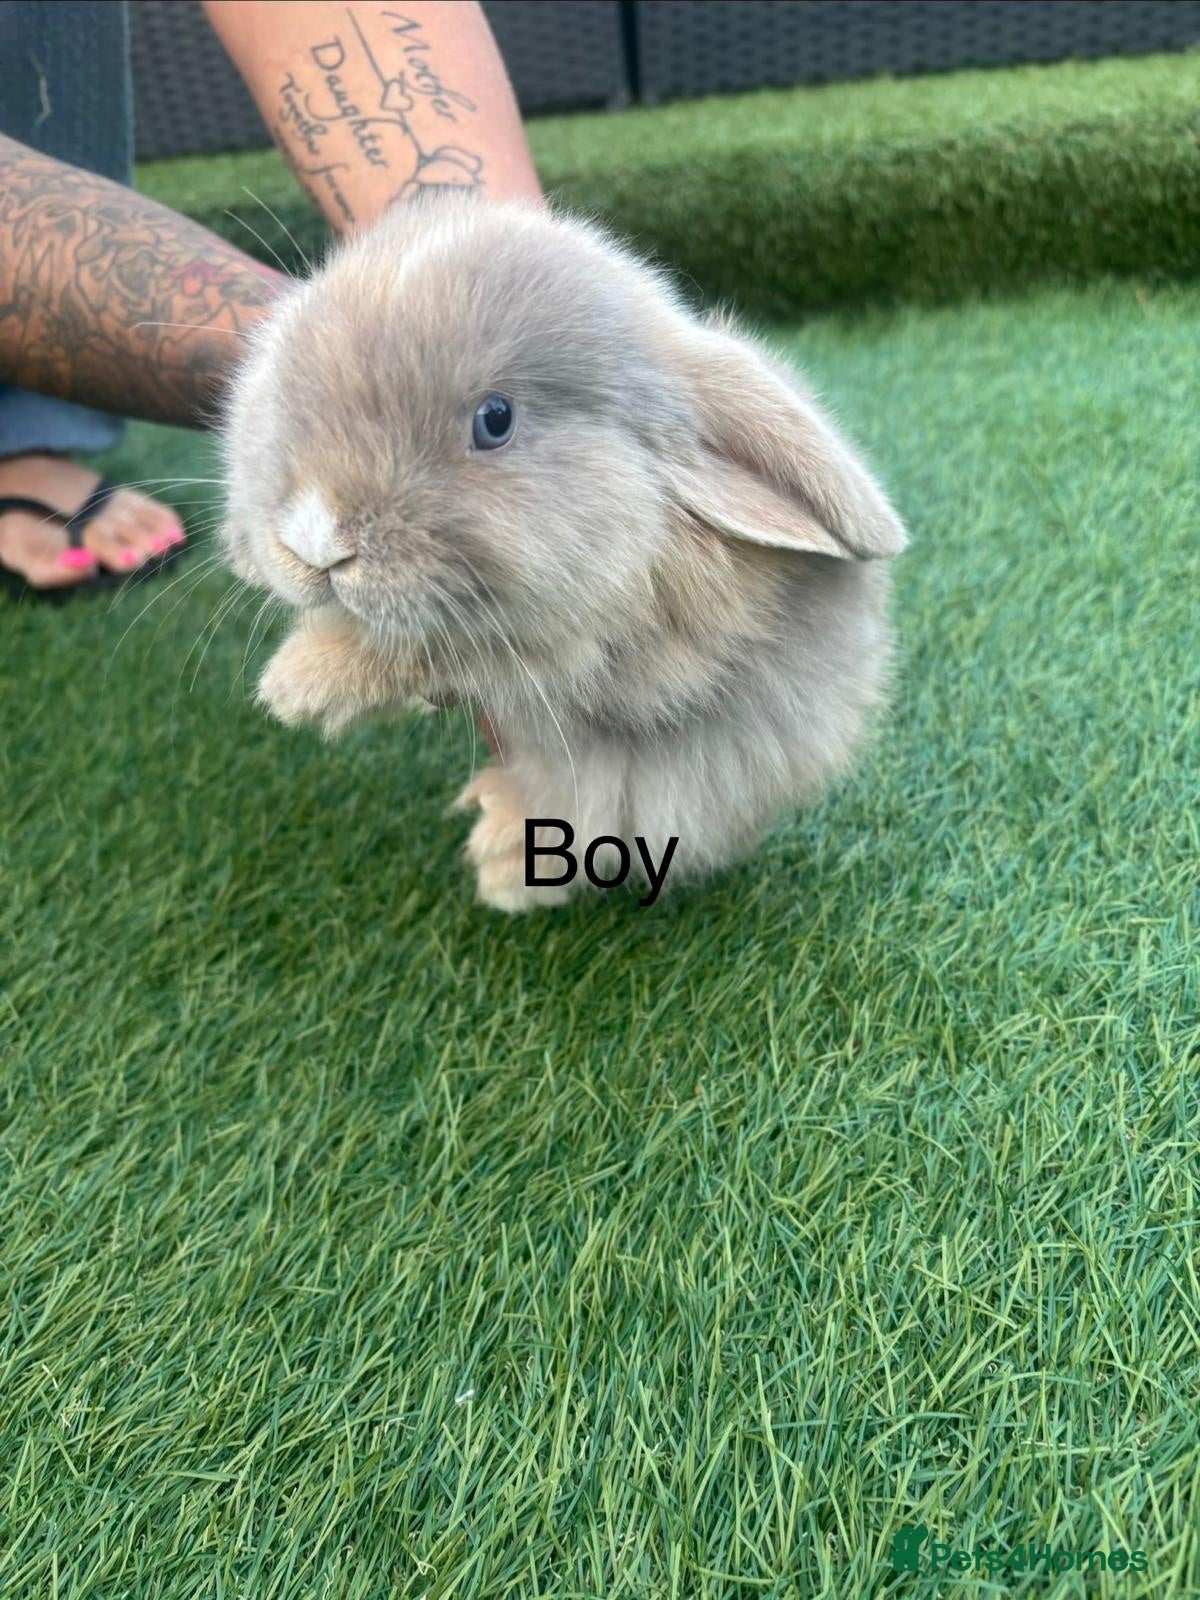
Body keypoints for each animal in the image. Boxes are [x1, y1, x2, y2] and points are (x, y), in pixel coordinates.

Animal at [220, 192, 908, 912]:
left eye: (495, 419)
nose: (314, 539)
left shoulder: (593, 650)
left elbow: (433, 649)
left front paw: (297, 687)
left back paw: (501, 858)